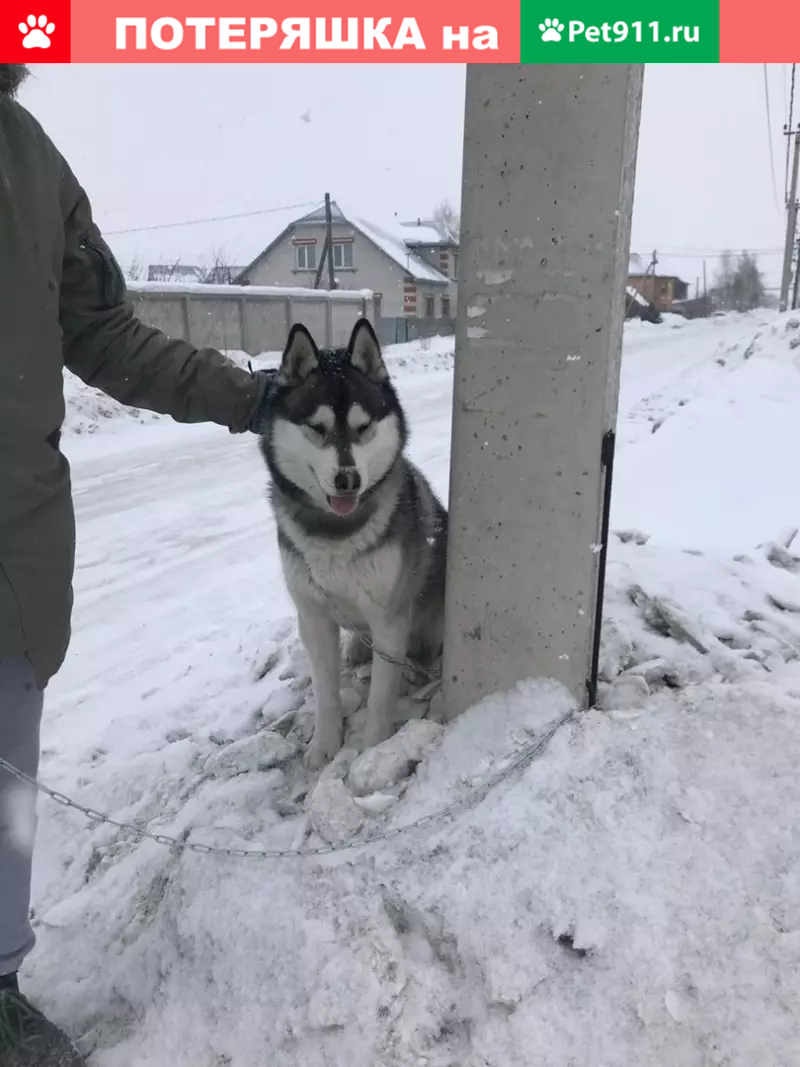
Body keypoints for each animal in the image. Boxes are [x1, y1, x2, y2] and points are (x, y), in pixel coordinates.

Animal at [263, 317, 452, 768]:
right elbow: (325, 692)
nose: (347, 479)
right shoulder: (313, 616)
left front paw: (374, 748)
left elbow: (381, 695)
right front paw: (324, 745)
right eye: (317, 429)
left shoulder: (390, 618)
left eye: (363, 428)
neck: (336, 534)